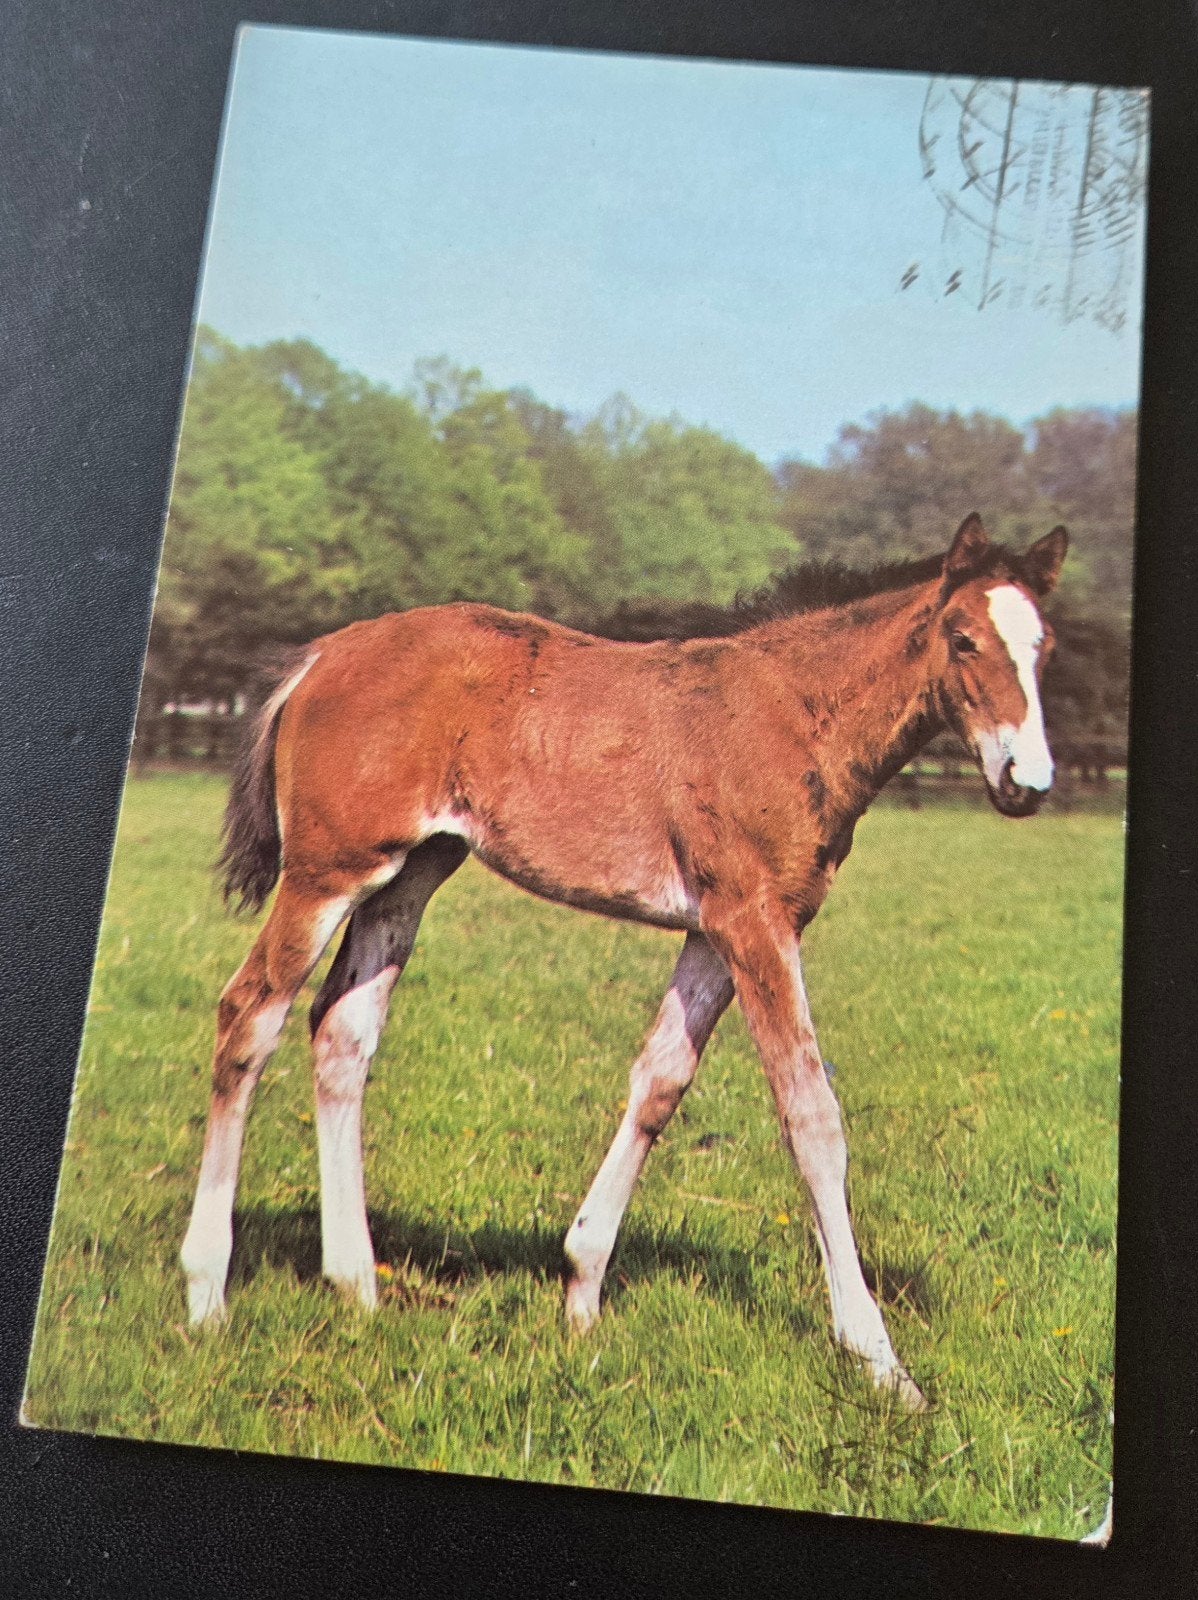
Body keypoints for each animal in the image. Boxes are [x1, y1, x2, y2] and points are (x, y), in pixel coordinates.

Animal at [180, 512, 1067, 1410]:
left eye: (1045, 647)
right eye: (963, 639)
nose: (1027, 782)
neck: (793, 713)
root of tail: (322, 655)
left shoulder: (714, 930)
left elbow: (660, 1082)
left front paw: (581, 1295)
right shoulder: (756, 922)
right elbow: (811, 1115)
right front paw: (879, 1360)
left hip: (410, 873)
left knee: (343, 1034)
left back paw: (357, 1286)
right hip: (325, 872)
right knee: (249, 1015)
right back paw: (207, 1293)